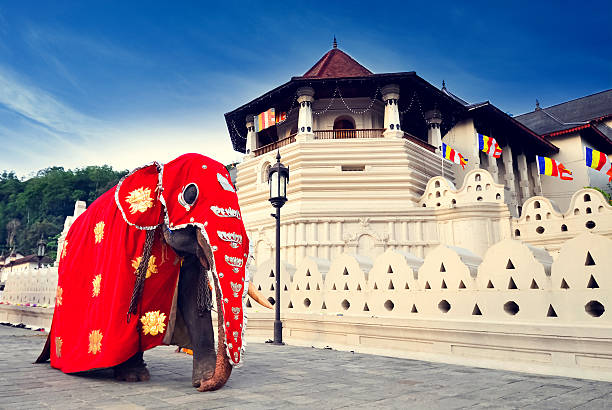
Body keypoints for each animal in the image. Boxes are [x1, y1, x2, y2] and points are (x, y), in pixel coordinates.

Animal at [35, 153, 270, 390]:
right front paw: (133, 375)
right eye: (190, 194)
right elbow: (126, 304)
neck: (161, 170)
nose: (206, 384)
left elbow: (192, 297)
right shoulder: (127, 240)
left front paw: (202, 379)